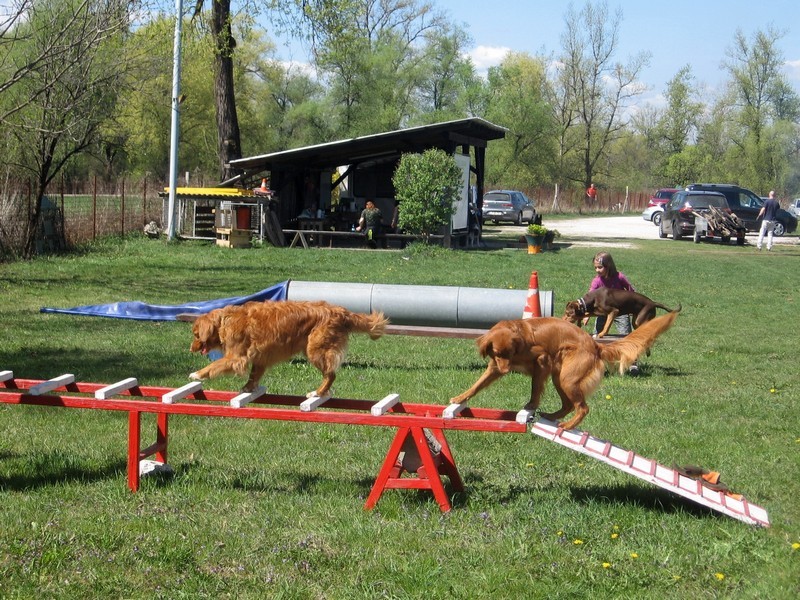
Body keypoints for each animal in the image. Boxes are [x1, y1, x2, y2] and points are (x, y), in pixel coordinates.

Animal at [177, 298, 388, 394]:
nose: (190, 348)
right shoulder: (260, 358)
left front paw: (197, 374)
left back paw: (317, 393)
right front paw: (247, 389)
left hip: (315, 350)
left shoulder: (236, 358)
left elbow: (214, 365)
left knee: (331, 374)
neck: (224, 320)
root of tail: (341, 311)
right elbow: (254, 376)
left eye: (196, 335)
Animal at [450, 310, 680, 432]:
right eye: (497, 353)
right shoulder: (494, 368)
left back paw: (568, 426)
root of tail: (596, 345)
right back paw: (552, 416)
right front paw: (459, 398)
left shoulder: (542, 360)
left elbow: (535, 389)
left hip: (566, 378)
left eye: (512, 351)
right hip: (559, 378)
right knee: (569, 404)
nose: (505, 369)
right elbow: (476, 386)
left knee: (583, 407)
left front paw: (530, 406)